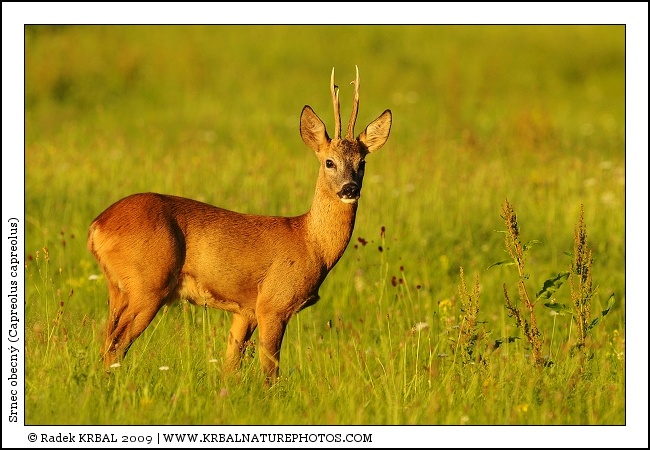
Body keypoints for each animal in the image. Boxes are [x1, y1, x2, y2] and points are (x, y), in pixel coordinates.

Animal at [87, 66, 392, 384]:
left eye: (362, 162)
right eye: (329, 162)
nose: (349, 188)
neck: (310, 242)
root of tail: (97, 226)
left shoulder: (245, 310)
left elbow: (230, 365)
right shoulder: (273, 304)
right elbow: (270, 372)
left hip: (119, 288)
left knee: (107, 339)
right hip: (147, 285)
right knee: (116, 345)